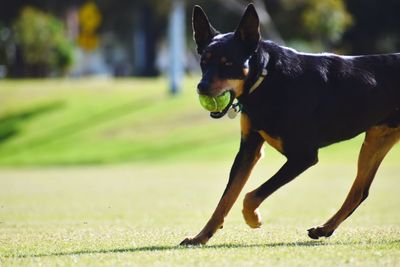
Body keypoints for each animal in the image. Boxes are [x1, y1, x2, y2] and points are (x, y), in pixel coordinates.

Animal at [180, 4, 400, 247]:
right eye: (204, 61)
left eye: (228, 63)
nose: (201, 87)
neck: (267, 79)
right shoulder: (248, 150)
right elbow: (226, 199)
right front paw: (201, 236)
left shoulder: (303, 156)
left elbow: (250, 196)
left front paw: (253, 219)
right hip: (378, 138)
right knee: (360, 191)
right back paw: (325, 229)